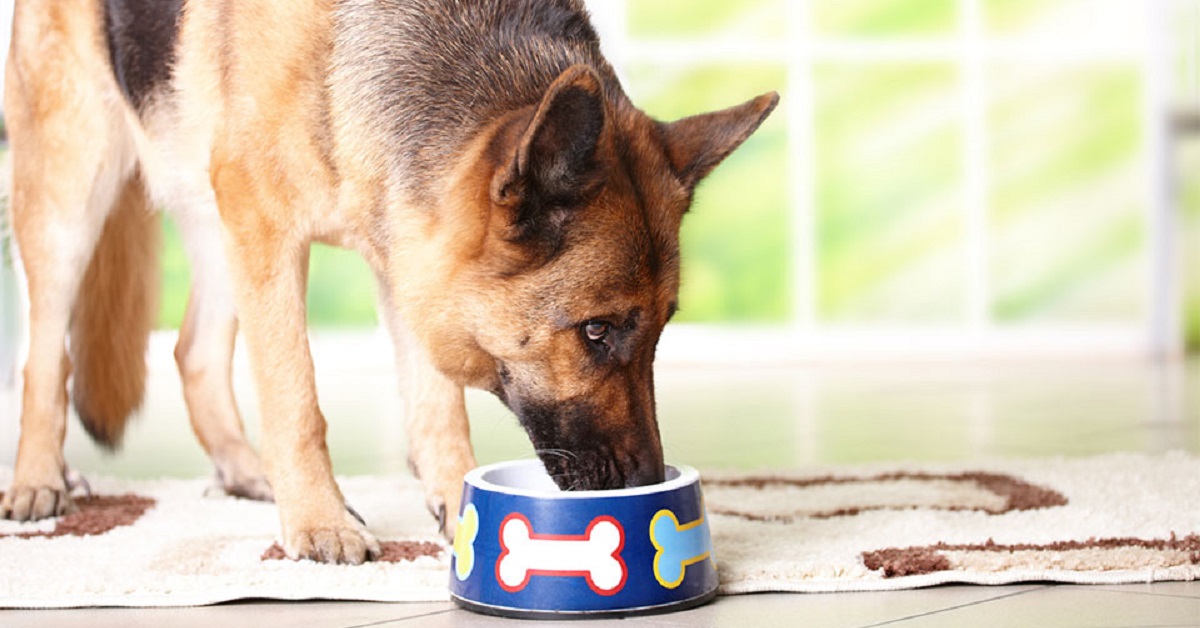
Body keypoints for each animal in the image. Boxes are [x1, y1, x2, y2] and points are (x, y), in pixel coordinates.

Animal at [4, 0, 777, 561]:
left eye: (660, 332)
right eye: (595, 331)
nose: (649, 484)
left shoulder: (409, 250)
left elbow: (436, 407)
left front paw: (458, 509)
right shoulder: (270, 231)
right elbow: (295, 396)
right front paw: (319, 522)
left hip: (214, 224)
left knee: (190, 350)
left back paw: (245, 469)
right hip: (75, 193)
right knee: (46, 355)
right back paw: (40, 479)